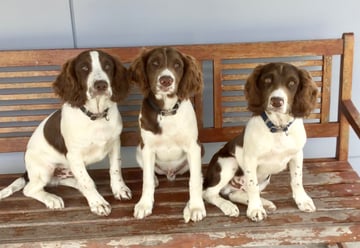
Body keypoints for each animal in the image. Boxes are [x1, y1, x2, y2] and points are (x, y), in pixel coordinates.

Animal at [0, 50, 132, 215]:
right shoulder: (74, 155)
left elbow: (115, 169)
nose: (101, 85)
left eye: (107, 66)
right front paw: (98, 203)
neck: (96, 116)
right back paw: (51, 199)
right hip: (44, 169)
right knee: (29, 189)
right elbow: (87, 180)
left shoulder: (115, 143)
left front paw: (120, 189)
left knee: (57, 180)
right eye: (84, 68)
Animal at [130, 47, 207, 223]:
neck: (166, 111)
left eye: (177, 65)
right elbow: (147, 180)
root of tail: (170, 173)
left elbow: (193, 181)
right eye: (154, 63)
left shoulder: (193, 147)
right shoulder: (147, 148)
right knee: (149, 171)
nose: (166, 80)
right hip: (138, 149)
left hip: (201, 148)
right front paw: (144, 204)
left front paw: (196, 207)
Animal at [202, 63, 318, 222]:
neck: (278, 128)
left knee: (235, 193)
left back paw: (265, 203)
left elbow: (297, 179)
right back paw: (229, 206)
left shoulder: (297, 155)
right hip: (229, 162)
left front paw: (303, 201)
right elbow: (252, 186)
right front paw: (255, 209)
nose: (276, 101)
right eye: (267, 80)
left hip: (265, 179)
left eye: (292, 83)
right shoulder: (251, 159)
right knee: (209, 193)